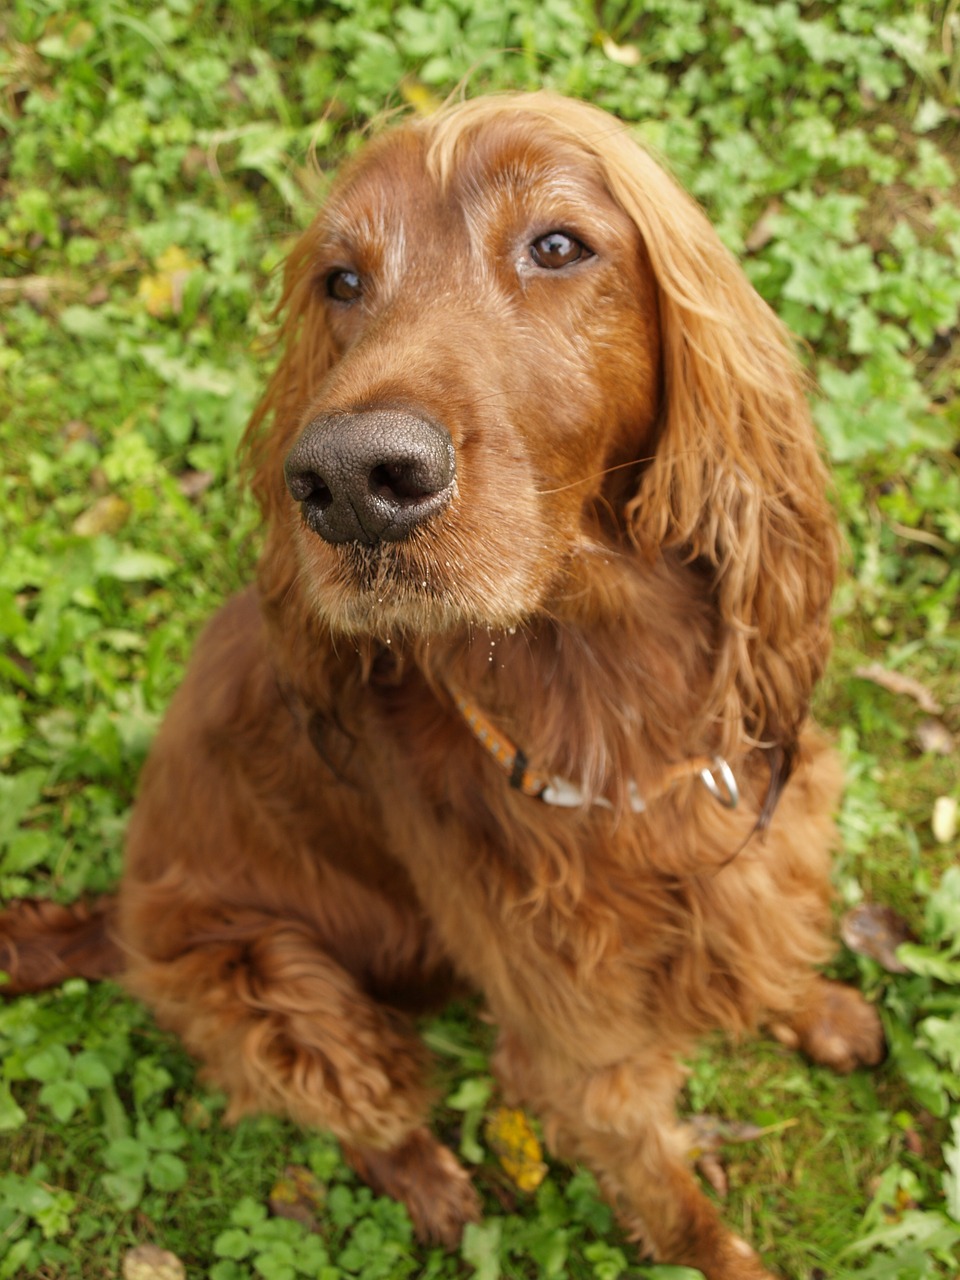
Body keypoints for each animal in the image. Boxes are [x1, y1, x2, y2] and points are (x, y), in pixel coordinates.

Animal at [1, 94, 885, 1274]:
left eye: (557, 245)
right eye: (341, 280)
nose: (349, 482)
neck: (607, 687)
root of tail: (114, 914)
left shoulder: (755, 840)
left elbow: (765, 947)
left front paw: (821, 1007)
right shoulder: (580, 1045)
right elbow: (674, 1201)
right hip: (273, 988)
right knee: (356, 1104)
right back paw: (428, 1183)